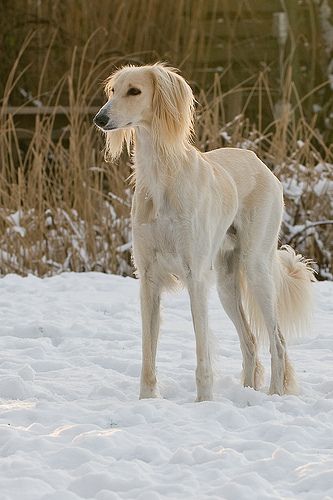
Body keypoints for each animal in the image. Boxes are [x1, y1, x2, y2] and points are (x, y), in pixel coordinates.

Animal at [93, 64, 314, 402]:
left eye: (135, 91)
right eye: (113, 91)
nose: (100, 119)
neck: (162, 178)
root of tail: (257, 160)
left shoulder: (195, 276)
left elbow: (202, 351)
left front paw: (204, 402)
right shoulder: (148, 278)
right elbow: (148, 353)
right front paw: (147, 401)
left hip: (256, 267)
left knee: (277, 340)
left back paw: (274, 395)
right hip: (226, 282)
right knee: (250, 341)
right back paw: (248, 393)